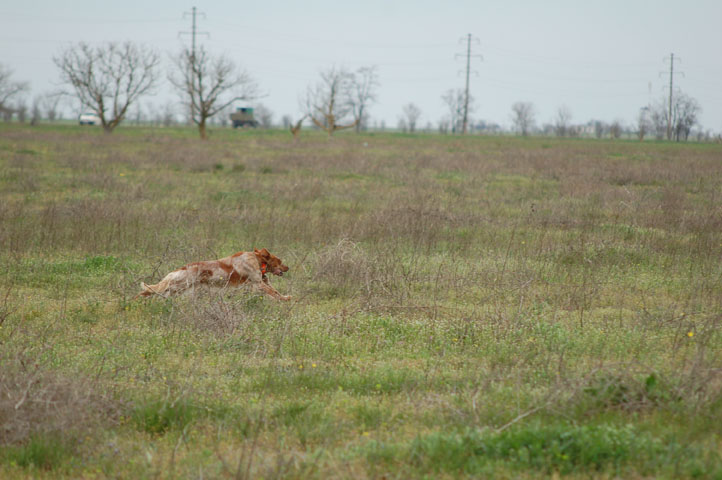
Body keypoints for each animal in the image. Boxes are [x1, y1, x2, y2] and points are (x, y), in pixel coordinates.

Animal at [136, 248, 288, 300]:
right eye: (280, 261)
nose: (288, 267)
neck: (256, 259)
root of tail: (177, 270)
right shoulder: (258, 283)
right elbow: (274, 293)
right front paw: (286, 300)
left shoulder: (261, 281)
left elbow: (275, 290)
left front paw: (286, 297)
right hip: (177, 286)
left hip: (176, 289)